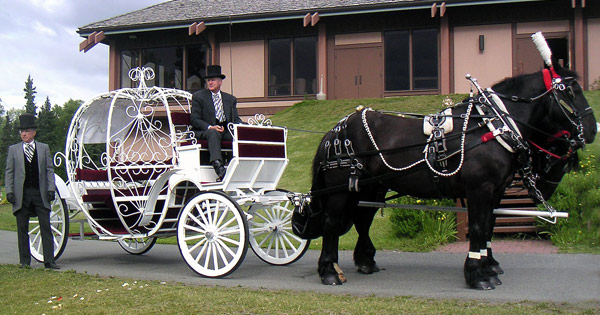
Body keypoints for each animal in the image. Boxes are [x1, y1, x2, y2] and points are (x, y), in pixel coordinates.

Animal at [298, 61, 596, 292]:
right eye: (570, 91)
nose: (593, 129)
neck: (492, 126)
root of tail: (336, 130)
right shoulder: (480, 189)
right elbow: (478, 227)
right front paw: (478, 275)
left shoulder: (495, 191)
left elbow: (488, 226)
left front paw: (489, 265)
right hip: (340, 190)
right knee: (331, 223)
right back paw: (330, 271)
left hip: (370, 189)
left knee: (361, 220)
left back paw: (365, 261)